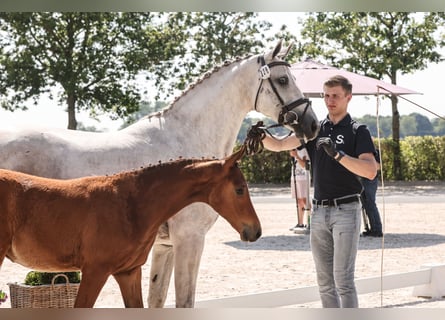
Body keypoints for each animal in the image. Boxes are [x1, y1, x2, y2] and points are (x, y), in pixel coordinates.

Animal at [0, 40, 320, 308]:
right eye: (283, 80)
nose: (312, 124)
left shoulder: (163, 248)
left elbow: (156, 300)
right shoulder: (189, 239)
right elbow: (184, 301)